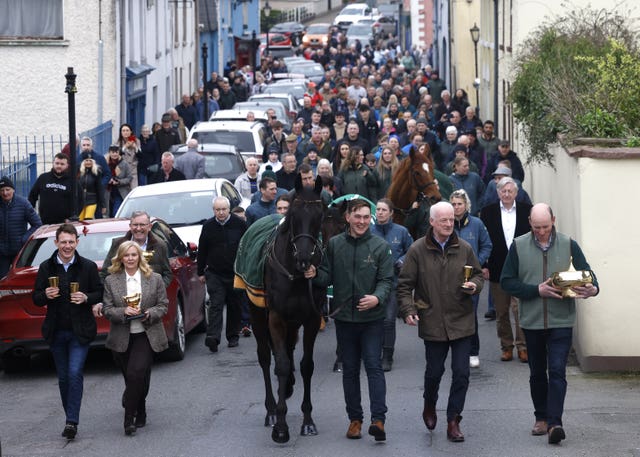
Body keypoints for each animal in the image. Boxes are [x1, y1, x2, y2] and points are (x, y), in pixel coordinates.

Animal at [250, 175, 328, 442]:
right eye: (293, 214)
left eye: (320, 215)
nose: (304, 257)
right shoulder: (275, 317)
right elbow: (281, 364)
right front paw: (281, 426)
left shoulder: (312, 317)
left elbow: (307, 365)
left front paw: (308, 421)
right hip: (257, 314)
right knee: (265, 357)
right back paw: (271, 410)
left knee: (289, 347)